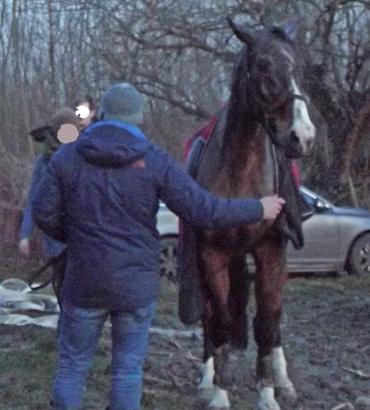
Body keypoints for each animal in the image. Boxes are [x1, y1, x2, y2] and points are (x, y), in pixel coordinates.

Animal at [182, 19, 316, 410]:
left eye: (303, 69)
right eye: (263, 67)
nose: (303, 137)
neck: (241, 171)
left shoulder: (272, 250)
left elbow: (267, 322)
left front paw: (268, 391)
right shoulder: (212, 254)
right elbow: (221, 319)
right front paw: (219, 391)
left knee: (274, 319)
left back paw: (283, 379)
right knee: (211, 317)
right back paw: (208, 378)